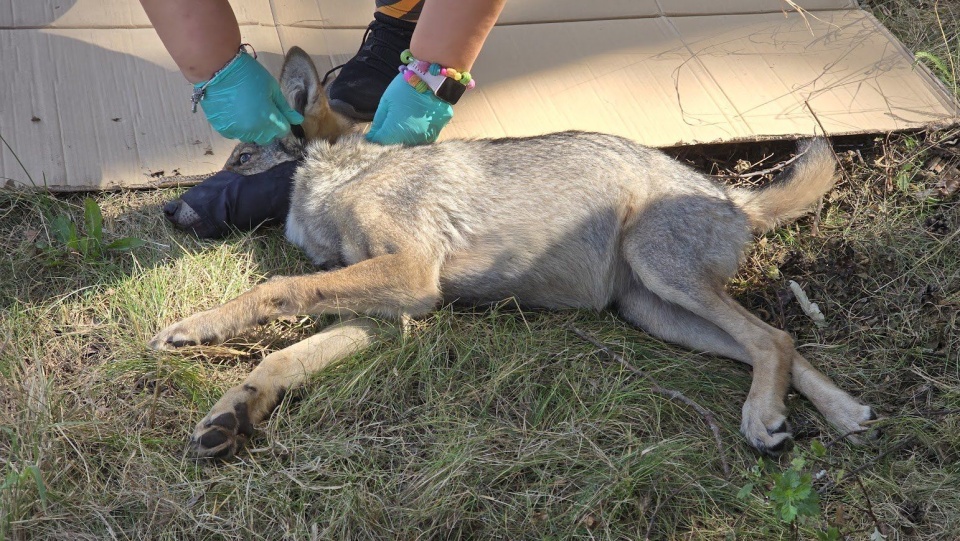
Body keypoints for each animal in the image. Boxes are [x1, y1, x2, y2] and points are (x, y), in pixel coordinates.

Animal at [156, 48, 876, 458]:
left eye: (240, 161)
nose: (166, 211)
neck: (350, 176)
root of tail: (729, 194)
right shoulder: (383, 315)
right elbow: (280, 357)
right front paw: (232, 411)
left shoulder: (409, 278)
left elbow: (274, 288)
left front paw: (199, 326)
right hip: (656, 312)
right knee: (779, 342)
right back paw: (837, 413)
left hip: (660, 271)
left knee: (771, 337)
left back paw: (763, 414)